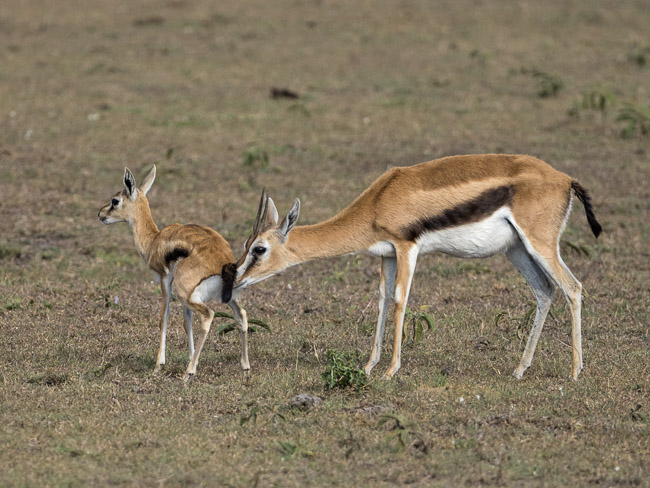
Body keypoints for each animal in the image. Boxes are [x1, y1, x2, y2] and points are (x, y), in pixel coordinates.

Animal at [98, 165, 250, 381]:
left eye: (115, 200)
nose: (101, 214)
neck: (154, 241)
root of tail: (223, 262)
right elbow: (187, 321)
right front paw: (191, 358)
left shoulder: (165, 280)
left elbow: (164, 317)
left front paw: (158, 365)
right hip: (225, 297)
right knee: (241, 316)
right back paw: (245, 370)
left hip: (184, 292)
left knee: (208, 315)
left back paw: (188, 374)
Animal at [235, 154, 601, 381]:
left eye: (259, 249)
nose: (234, 278)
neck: (377, 202)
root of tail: (565, 179)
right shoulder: (386, 255)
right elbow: (382, 300)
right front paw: (368, 366)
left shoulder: (406, 247)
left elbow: (400, 300)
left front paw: (390, 371)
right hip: (516, 250)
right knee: (545, 290)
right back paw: (520, 369)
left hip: (540, 243)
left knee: (572, 287)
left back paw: (575, 371)